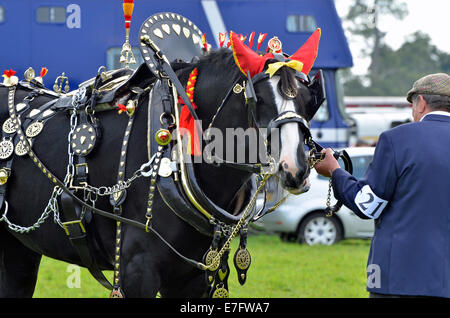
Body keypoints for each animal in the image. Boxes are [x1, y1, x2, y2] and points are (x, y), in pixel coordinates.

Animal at [0, 34, 324, 296]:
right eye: (260, 100)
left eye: (310, 101)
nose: (295, 167)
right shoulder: (137, 271)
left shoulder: (194, 277)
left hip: (18, 249)